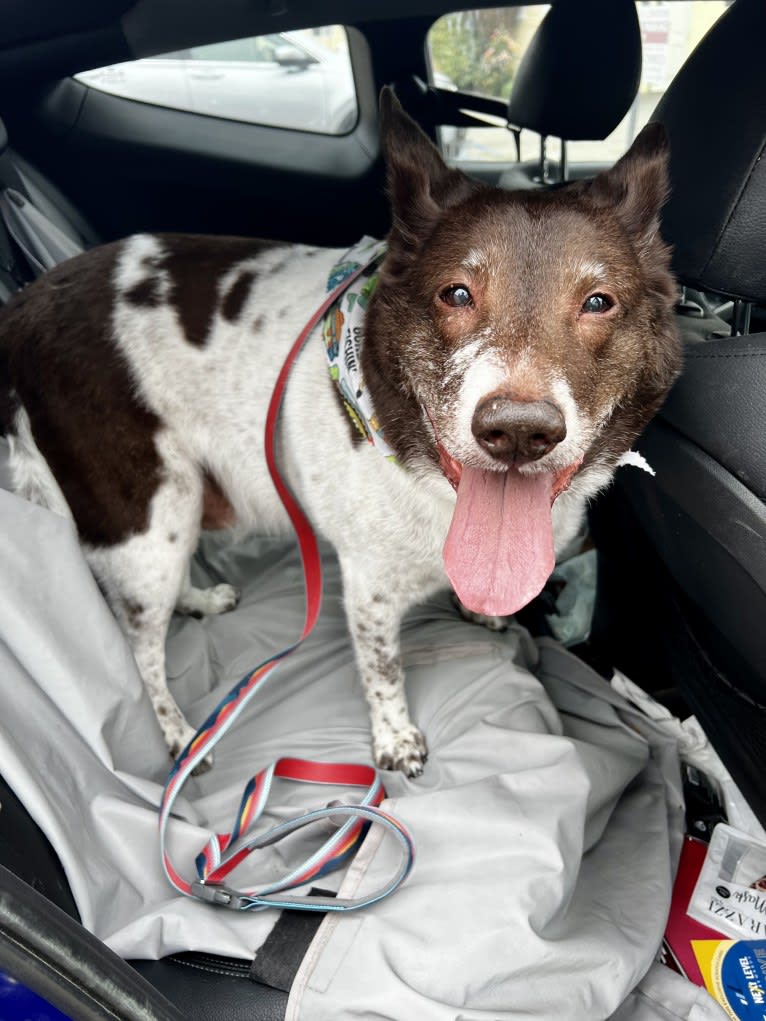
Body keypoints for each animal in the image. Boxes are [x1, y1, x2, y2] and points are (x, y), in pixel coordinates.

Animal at [1, 93, 682, 771]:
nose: (518, 432)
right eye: (456, 294)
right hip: (144, 511)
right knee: (136, 641)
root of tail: (24, 307)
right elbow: (383, 668)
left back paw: (196, 603)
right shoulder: (369, 587)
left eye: (598, 302)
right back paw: (175, 732)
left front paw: (475, 609)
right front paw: (395, 738)